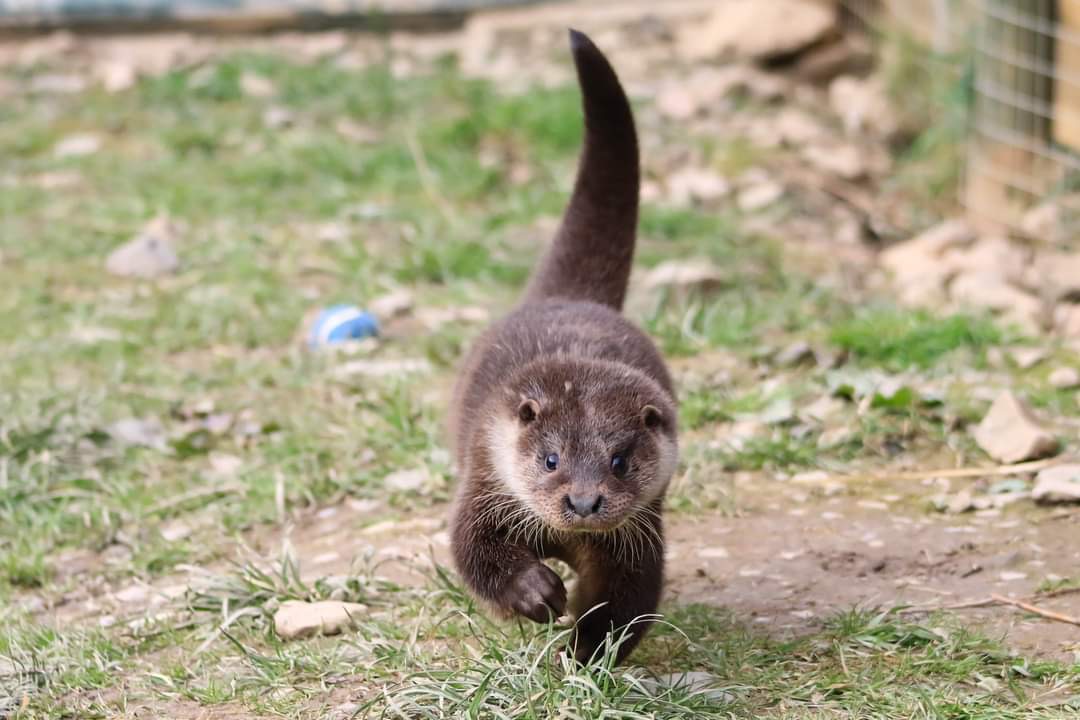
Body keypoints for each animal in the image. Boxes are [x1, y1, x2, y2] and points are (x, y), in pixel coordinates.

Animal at [448, 29, 678, 665]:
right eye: (551, 459)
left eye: (619, 461)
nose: (583, 502)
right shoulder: (483, 484)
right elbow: (472, 551)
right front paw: (534, 592)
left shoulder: (639, 543)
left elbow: (623, 605)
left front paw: (582, 657)